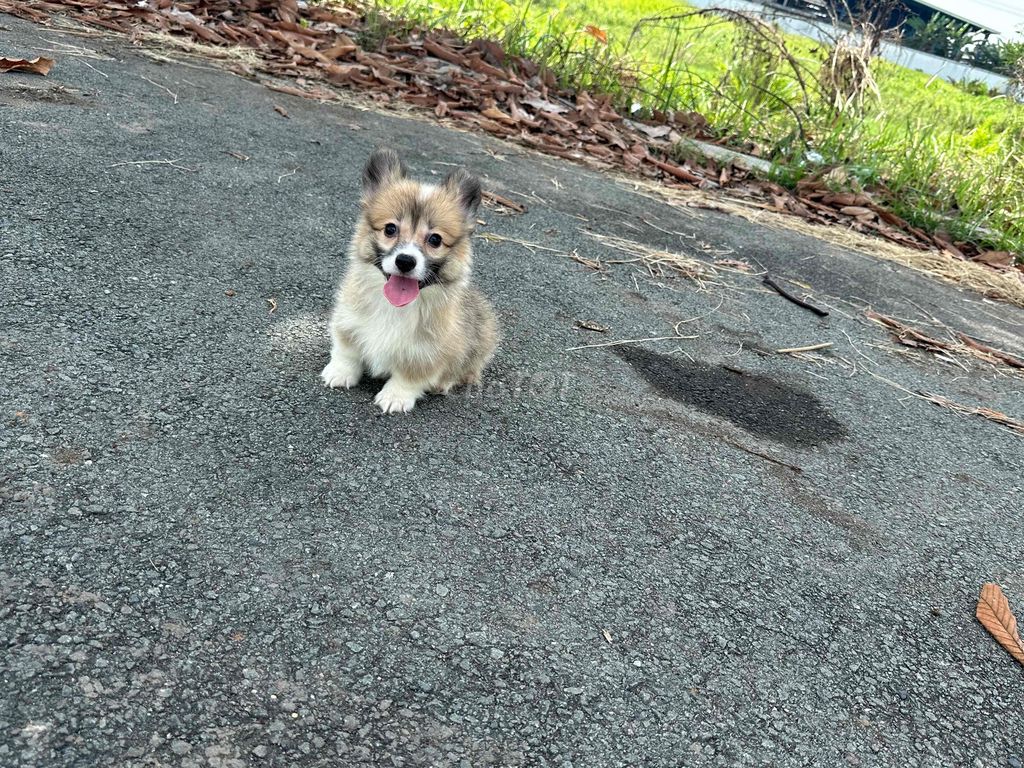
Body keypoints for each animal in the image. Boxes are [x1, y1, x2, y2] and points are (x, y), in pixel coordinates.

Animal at [319, 150, 495, 415]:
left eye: (435, 239)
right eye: (390, 229)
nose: (405, 261)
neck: (395, 308)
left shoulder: (427, 351)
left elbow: (409, 376)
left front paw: (396, 396)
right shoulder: (348, 321)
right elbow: (347, 351)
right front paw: (340, 372)